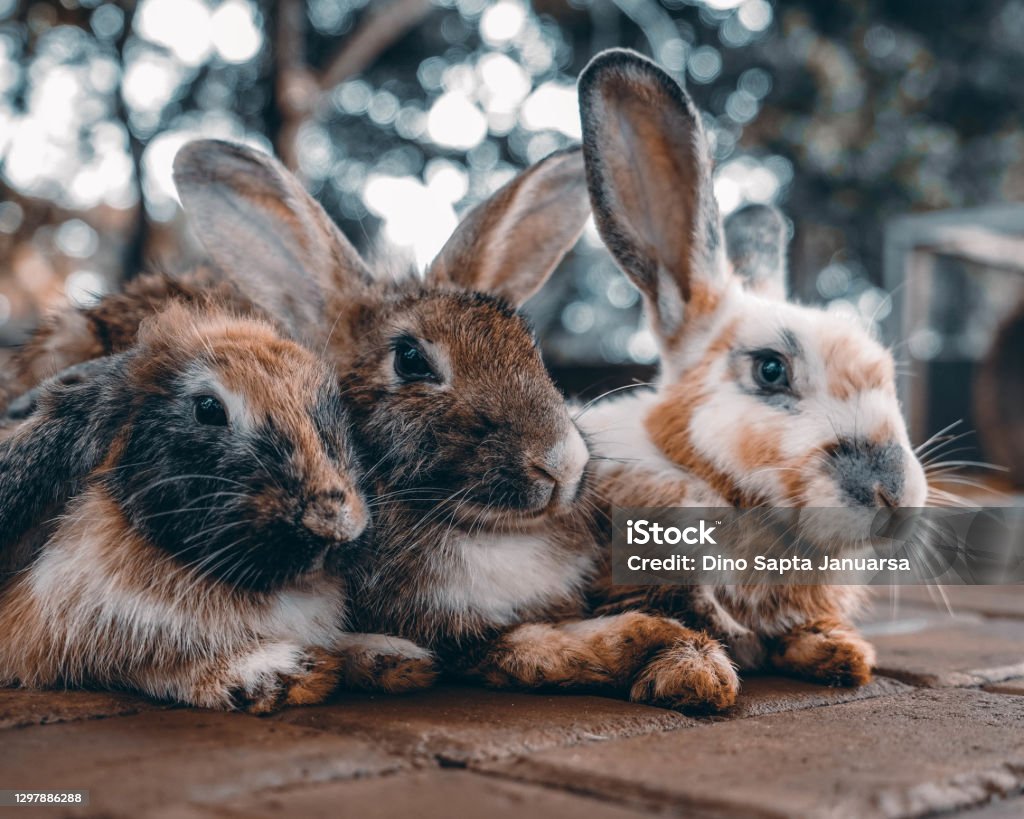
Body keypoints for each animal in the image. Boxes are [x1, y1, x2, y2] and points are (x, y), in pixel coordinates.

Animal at [0, 301, 438, 712]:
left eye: (331, 409)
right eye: (208, 409)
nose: (333, 526)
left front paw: (396, 656)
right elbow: (150, 665)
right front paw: (284, 673)